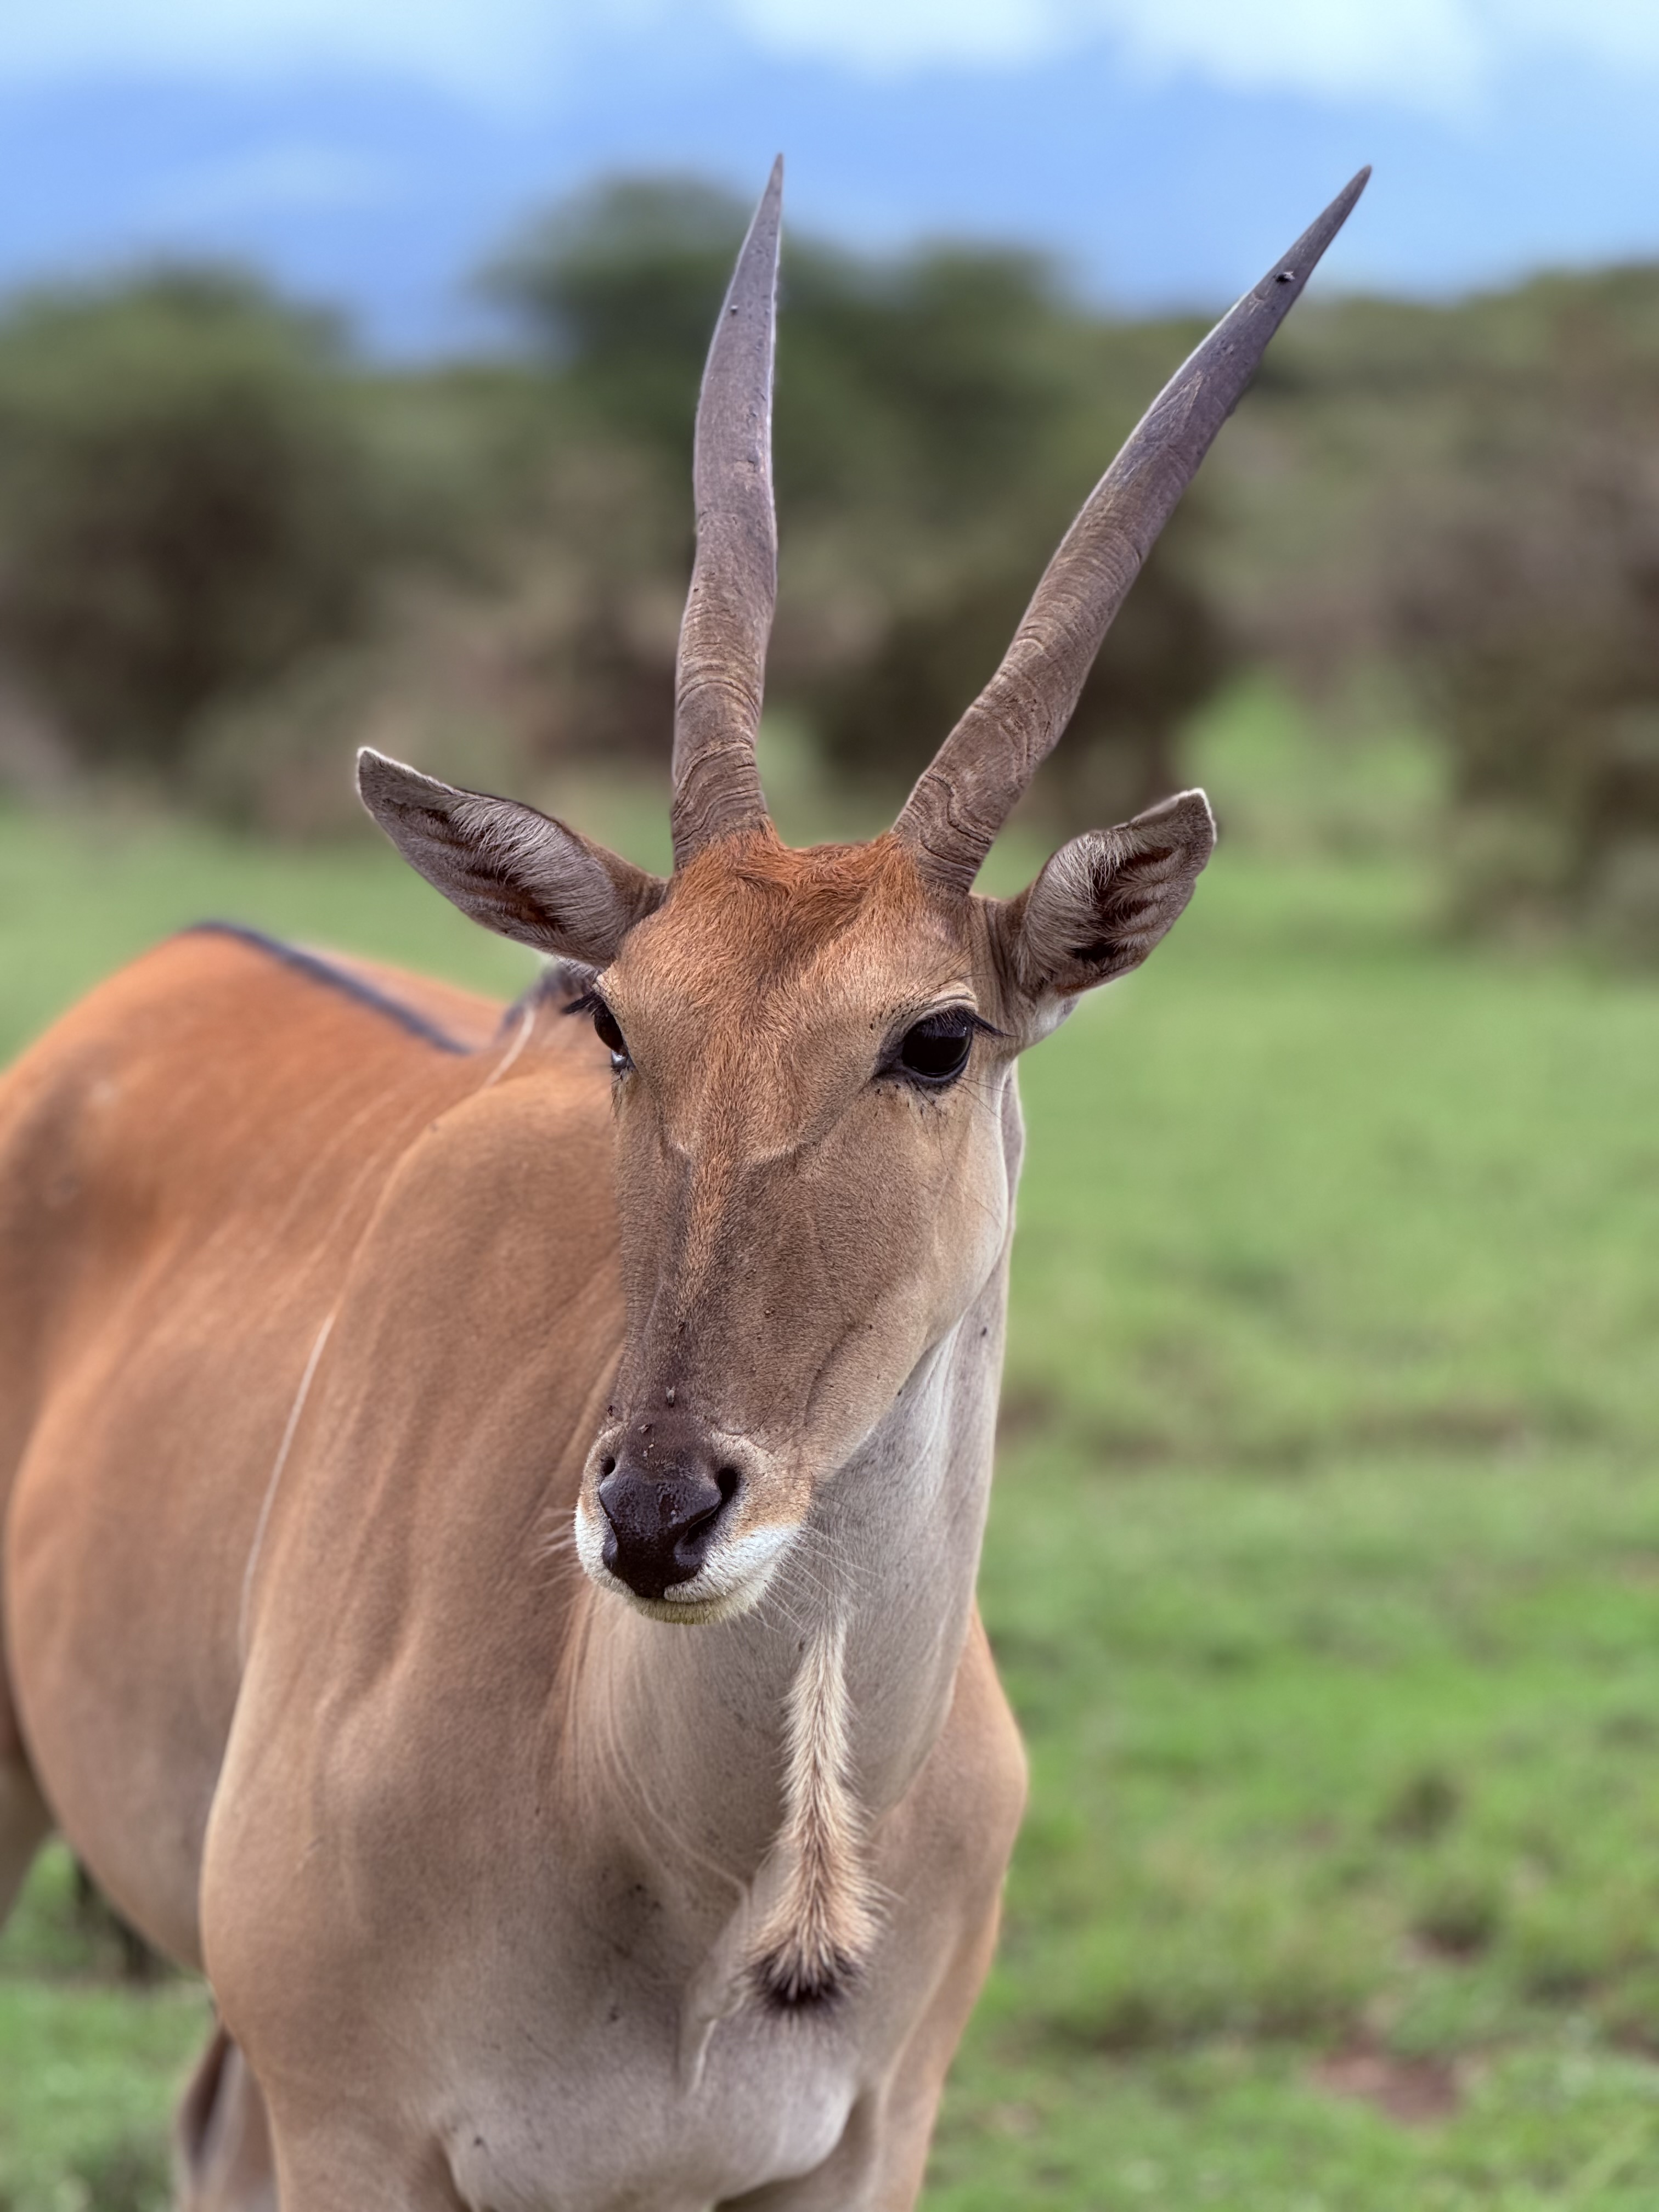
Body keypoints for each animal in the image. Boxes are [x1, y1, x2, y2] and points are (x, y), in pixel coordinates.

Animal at [0, 161, 1365, 2210]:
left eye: (937, 1038)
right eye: (620, 1022)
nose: (655, 1516)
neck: (698, 1877)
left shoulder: (862, 2148)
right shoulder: (362, 2129)